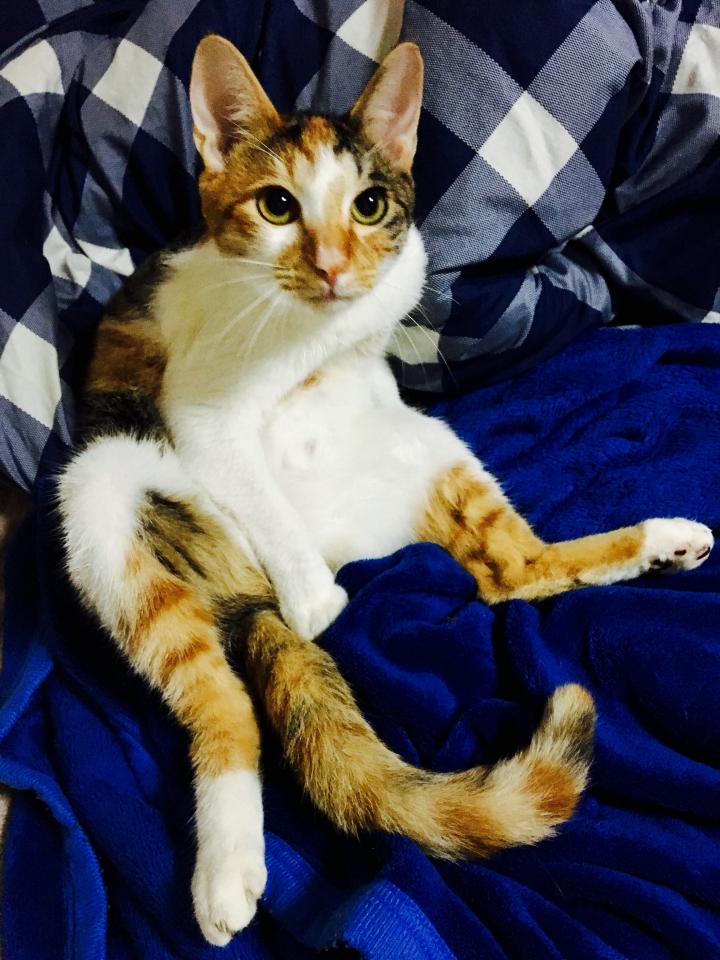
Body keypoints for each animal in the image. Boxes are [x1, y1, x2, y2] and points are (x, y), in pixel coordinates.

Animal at [58, 36, 714, 946]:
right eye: (277, 206)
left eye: (368, 206)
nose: (334, 267)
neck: (310, 329)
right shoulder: (200, 412)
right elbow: (251, 479)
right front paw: (316, 601)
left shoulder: (393, 290)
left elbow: (391, 298)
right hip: (102, 490)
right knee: (224, 702)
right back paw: (227, 868)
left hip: (431, 447)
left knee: (509, 574)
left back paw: (664, 541)